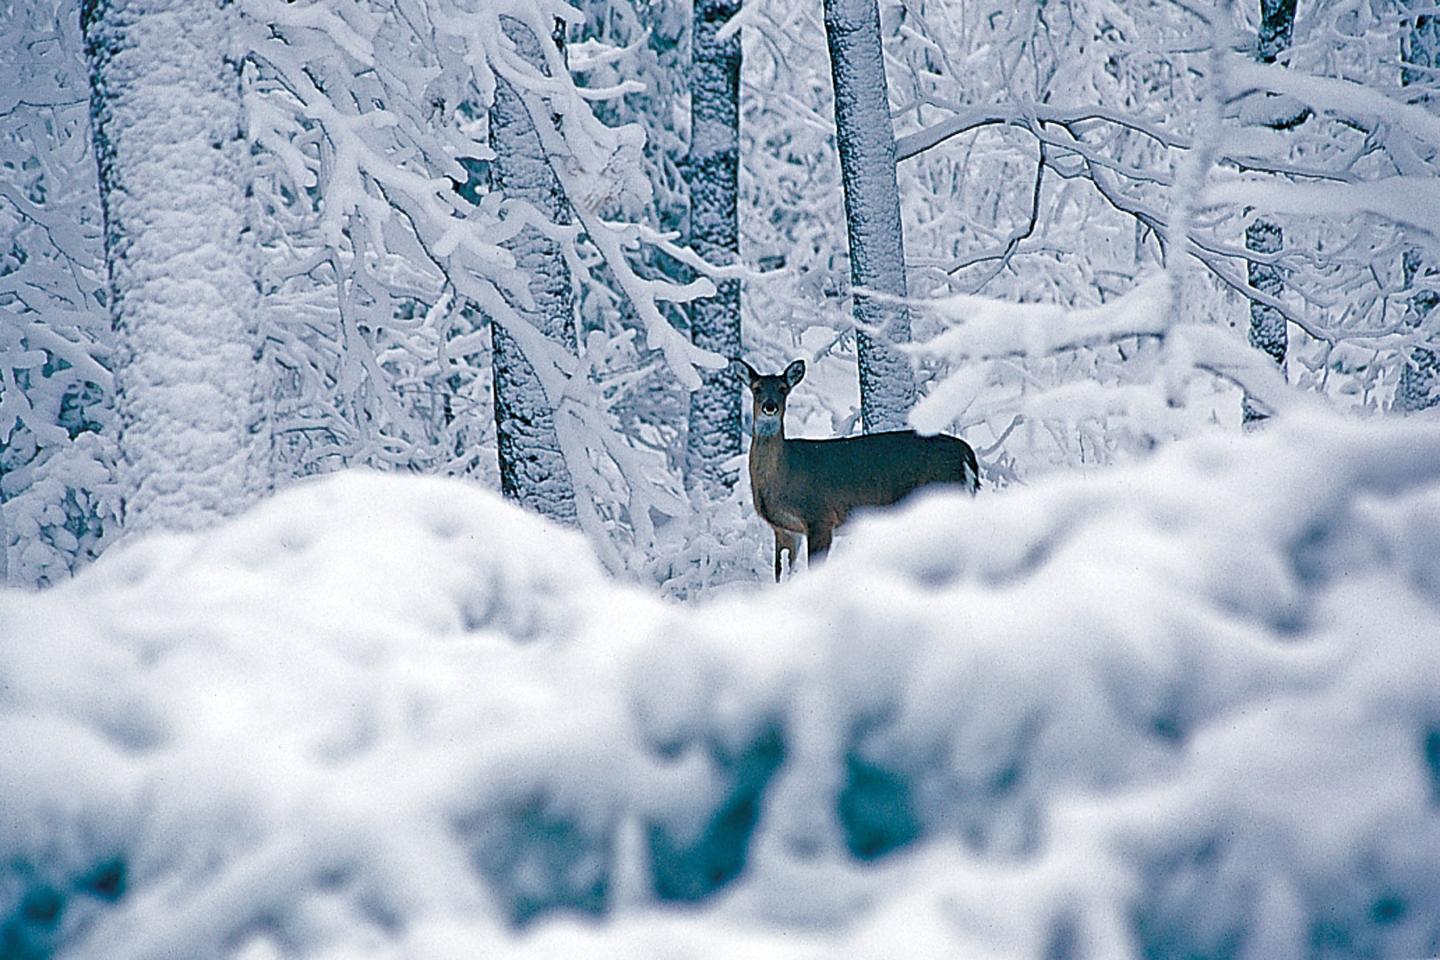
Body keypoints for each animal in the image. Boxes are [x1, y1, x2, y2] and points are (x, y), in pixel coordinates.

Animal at [738, 358, 979, 581]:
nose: (770, 406)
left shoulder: (820, 516)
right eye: (756, 388)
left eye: (783, 389)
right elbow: (781, 574)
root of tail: (967, 454)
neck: (783, 475)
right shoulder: (784, 529)